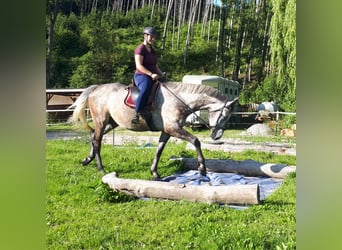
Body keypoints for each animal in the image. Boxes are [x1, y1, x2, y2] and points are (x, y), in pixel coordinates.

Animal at [68, 81, 239, 179]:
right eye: (225, 115)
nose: (217, 136)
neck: (179, 100)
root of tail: (97, 88)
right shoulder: (173, 128)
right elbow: (196, 141)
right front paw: (202, 169)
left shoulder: (167, 131)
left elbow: (159, 150)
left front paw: (155, 172)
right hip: (101, 121)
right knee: (97, 140)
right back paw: (100, 168)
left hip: (112, 122)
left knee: (93, 136)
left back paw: (87, 159)